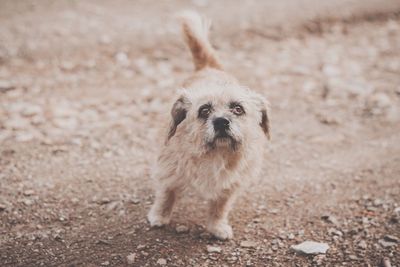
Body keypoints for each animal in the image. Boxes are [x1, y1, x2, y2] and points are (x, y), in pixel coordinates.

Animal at [145, 11, 270, 241]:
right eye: (204, 110)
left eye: (237, 109)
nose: (221, 121)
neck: (215, 154)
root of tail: (209, 67)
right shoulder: (169, 172)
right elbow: (166, 194)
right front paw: (159, 216)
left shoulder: (230, 185)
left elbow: (220, 206)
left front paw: (216, 227)